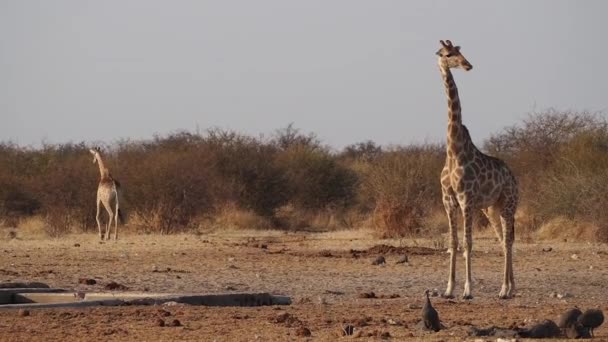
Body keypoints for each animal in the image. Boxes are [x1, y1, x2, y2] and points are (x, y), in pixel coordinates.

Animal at [436, 40, 516, 300]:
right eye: (448, 54)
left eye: (460, 52)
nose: (467, 65)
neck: (454, 150)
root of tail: (513, 177)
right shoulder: (448, 201)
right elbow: (453, 243)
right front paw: (449, 289)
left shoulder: (466, 199)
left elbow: (468, 243)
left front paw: (468, 290)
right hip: (491, 209)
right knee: (503, 240)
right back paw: (511, 287)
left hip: (508, 204)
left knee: (508, 241)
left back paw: (504, 290)